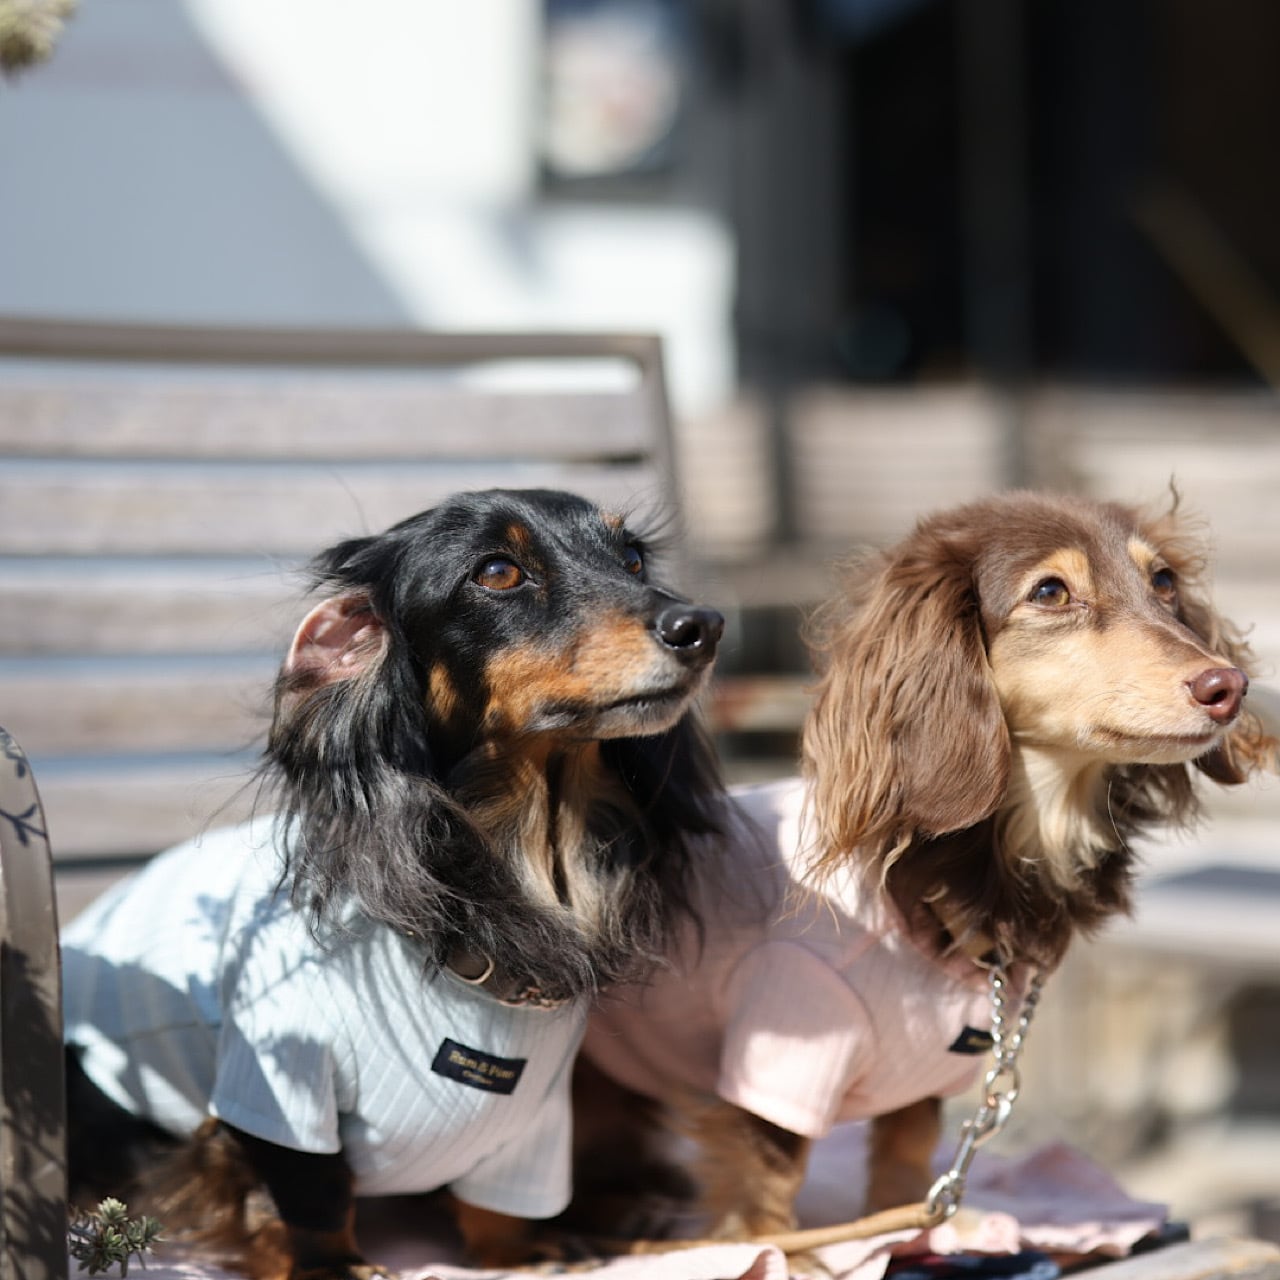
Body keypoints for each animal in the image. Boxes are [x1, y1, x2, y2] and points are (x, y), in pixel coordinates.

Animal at [61, 487, 725, 1280]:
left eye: (630, 558)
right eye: (497, 572)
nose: (703, 626)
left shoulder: (537, 1118)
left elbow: (501, 1207)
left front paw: (523, 1253)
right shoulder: (276, 1089)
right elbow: (312, 1192)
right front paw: (331, 1265)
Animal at [574, 490, 1277, 1249]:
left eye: (1165, 582)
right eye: (1050, 592)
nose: (1228, 686)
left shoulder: (923, 1083)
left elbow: (905, 1165)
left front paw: (912, 1238)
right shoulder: (778, 1056)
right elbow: (767, 1189)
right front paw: (774, 1251)